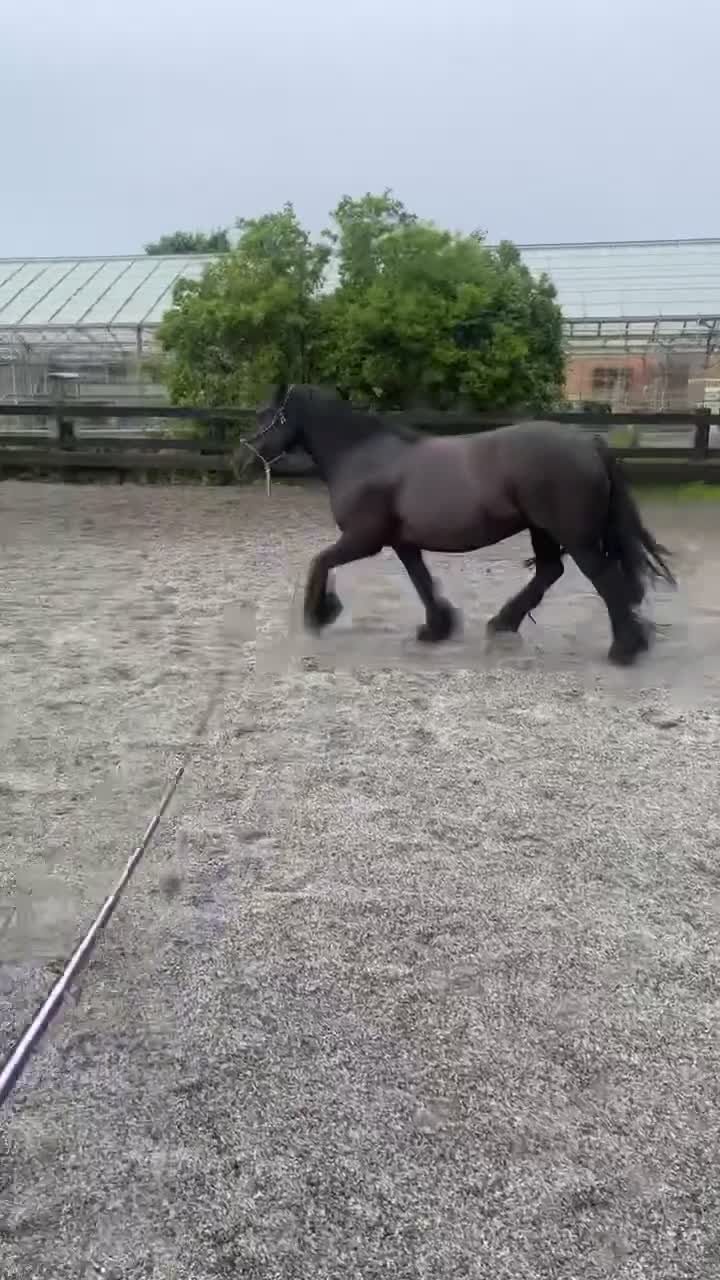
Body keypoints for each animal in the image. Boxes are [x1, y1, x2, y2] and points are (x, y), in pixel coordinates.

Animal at [237, 384, 676, 666]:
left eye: (266, 417)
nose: (240, 460)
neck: (364, 456)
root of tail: (590, 444)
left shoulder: (363, 539)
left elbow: (320, 561)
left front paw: (318, 614)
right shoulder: (402, 542)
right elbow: (421, 582)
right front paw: (437, 628)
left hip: (574, 536)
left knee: (604, 580)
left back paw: (624, 649)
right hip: (543, 530)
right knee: (551, 571)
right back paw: (503, 624)